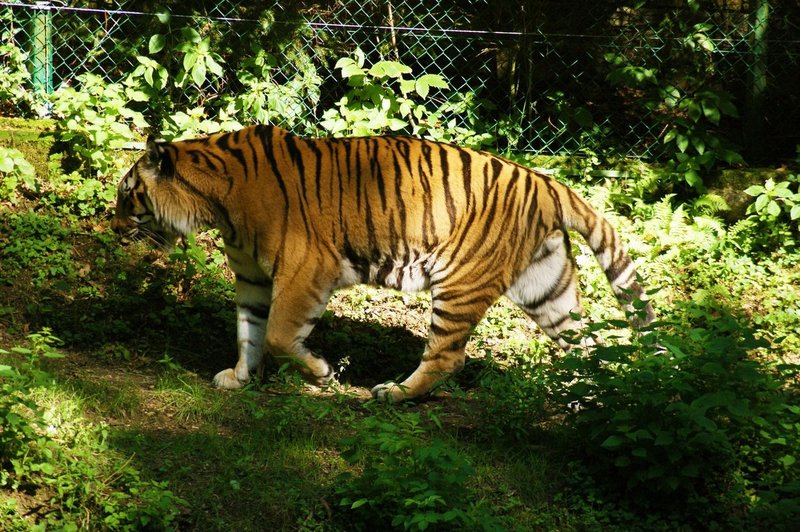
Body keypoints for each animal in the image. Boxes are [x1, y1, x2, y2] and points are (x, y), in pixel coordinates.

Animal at [112, 124, 652, 404]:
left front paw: (320, 373)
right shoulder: (251, 277)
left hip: (460, 282)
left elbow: (280, 336)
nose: (113, 228)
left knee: (447, 356)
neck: (216, 203)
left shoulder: (306, 269)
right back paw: (591, 402)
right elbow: (249, 331)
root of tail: (546, 182)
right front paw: (240, 378)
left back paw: (394, 393)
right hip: (546, 289)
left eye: (126, 194)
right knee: (588, 347)